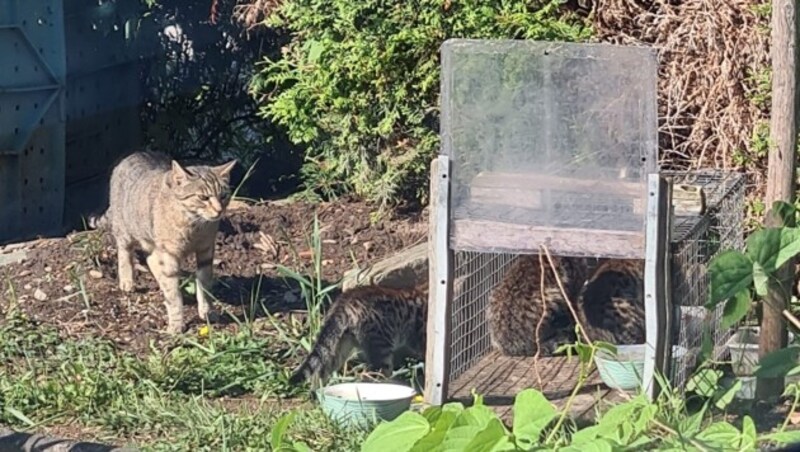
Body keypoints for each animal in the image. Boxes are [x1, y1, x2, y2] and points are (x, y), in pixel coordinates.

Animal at [96, 152, 234, 332]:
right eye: (203, 197)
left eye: (223, 196)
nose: (219, 210)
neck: (195, 226)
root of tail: (132, 155)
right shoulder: (169, 257)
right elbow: (173, 296)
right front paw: (176, 324)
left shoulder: (205, 251)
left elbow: (204, 286)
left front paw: (207, 311)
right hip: (126, 231)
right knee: (125, 253)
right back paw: (127, 280)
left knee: (150, 260)